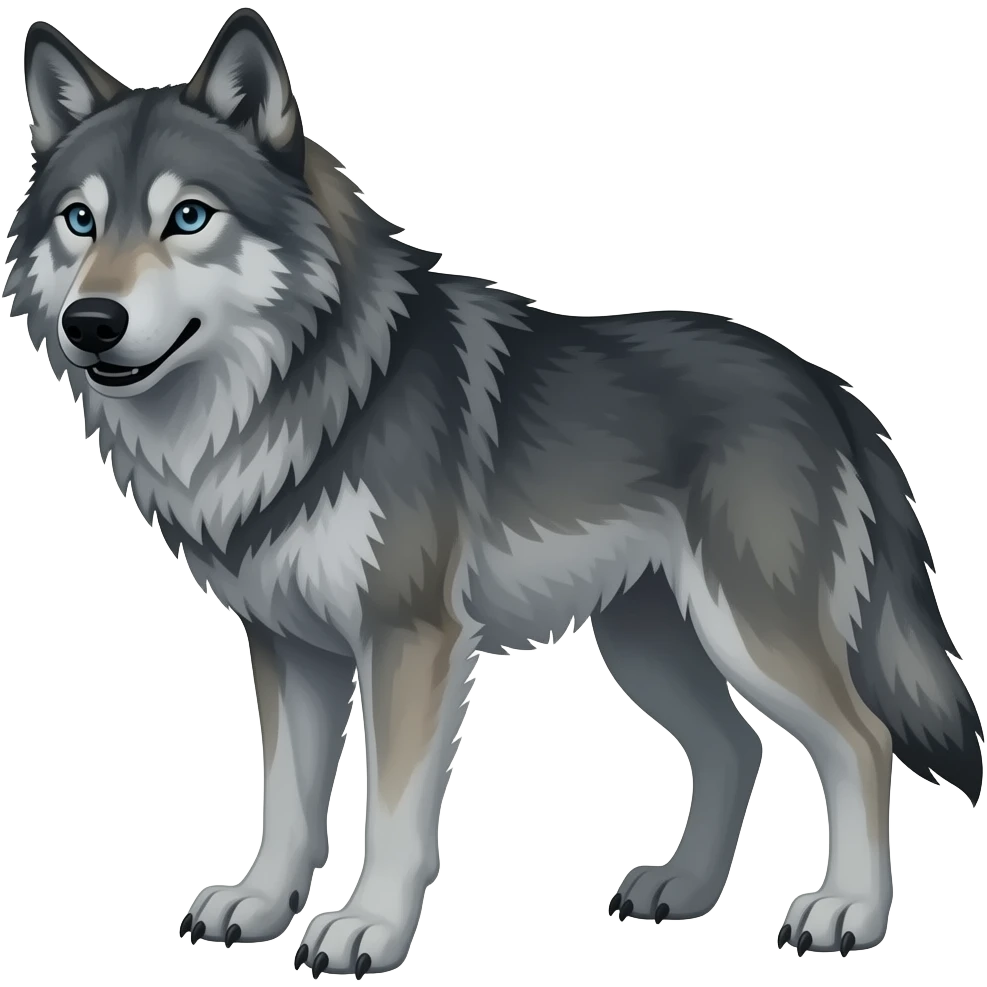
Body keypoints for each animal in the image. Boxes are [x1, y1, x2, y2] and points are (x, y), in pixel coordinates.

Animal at [5, 7, 983, 977]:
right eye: (80, 220)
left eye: (188, 217)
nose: (91, 322)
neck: (306, 394)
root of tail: (822, 383)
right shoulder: (290, 645)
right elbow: (285, 801)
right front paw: (258, 904)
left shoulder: (409, 638)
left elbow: (392, 812)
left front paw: (367, 927)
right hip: (649, 644)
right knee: (736, 747)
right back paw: (683, 889)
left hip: (748, 633)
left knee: (861, 740)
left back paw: (847, 911)